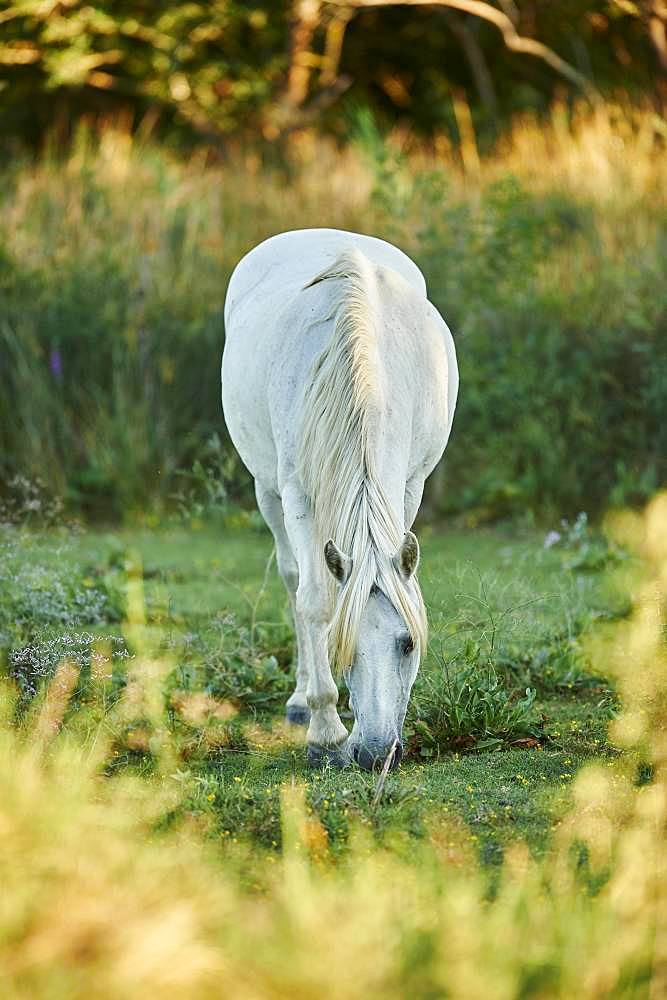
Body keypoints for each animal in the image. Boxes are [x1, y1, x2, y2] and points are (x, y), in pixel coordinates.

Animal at [222, 230, 456, 768]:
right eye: (341, 648)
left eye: (407, 644)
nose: (374, 753)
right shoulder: (297, 497)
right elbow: (313, 601)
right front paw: (326, 731)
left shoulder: (410, 486)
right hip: (267, 492)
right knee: (294, 581)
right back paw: (300, 701)